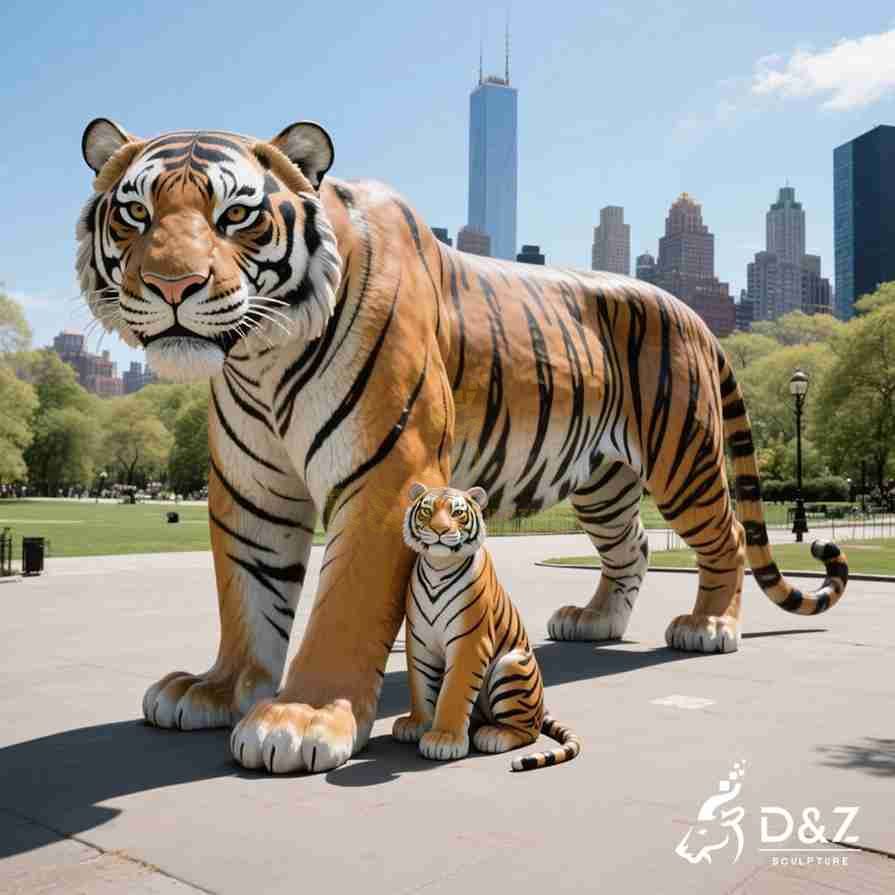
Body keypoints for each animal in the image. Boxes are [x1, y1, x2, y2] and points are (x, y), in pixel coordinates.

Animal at [394, 483, 581, 772]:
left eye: (457, 512)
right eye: (427, 510)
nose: (439, 530)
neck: (438, 567)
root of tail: (542, 708)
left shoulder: (469, 641)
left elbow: (454, 691)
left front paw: (444, 739)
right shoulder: (419, 641)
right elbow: (420, 684)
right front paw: (416, 724)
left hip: (511, 666)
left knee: (528, 730)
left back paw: (494, 735)